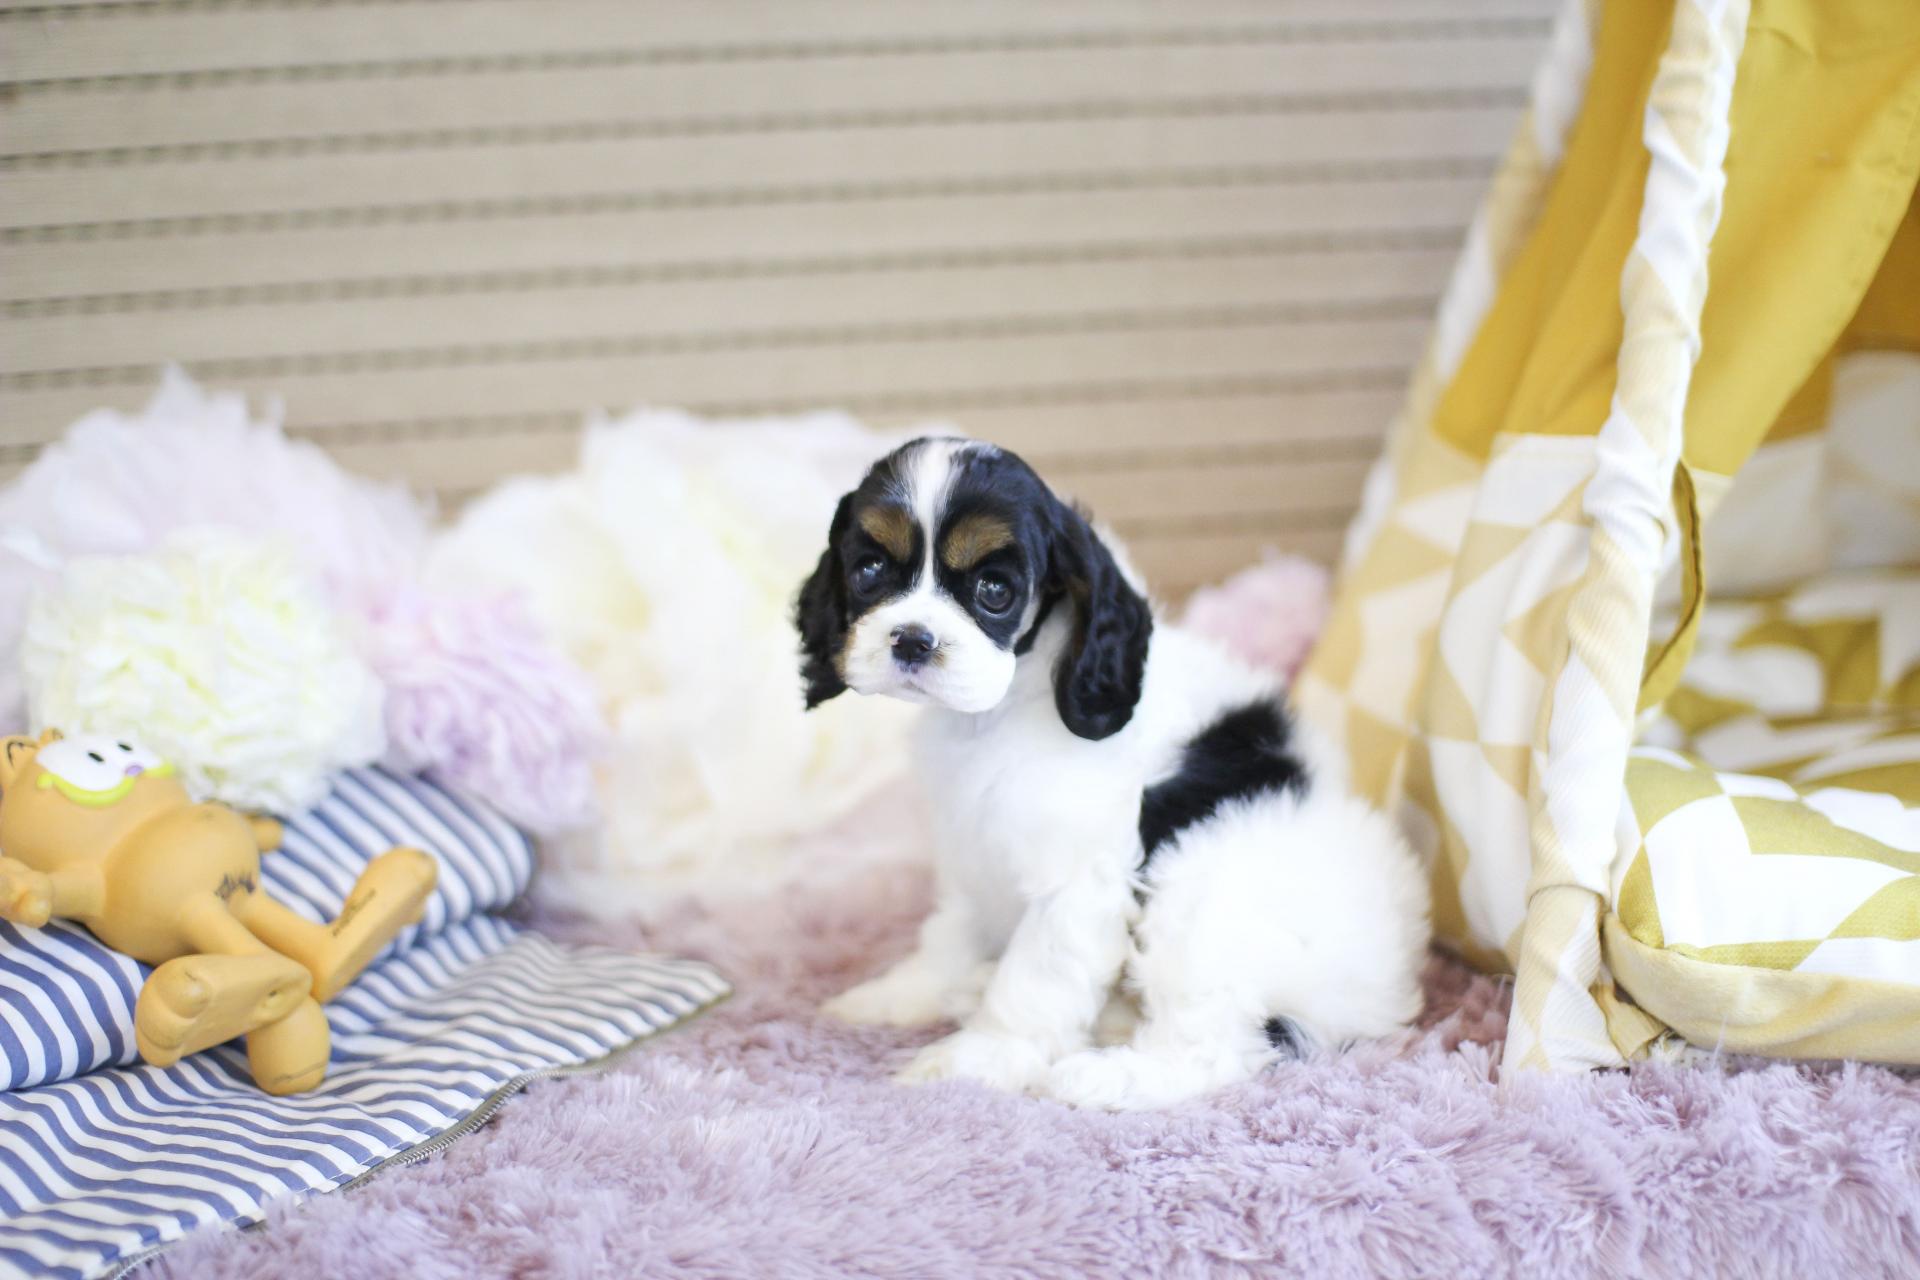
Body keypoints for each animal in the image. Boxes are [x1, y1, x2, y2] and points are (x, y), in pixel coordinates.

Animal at [796, 437, 1429, 1109]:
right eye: (868, 572)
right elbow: (949, 934)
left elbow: (1034, 981)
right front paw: (898, 995)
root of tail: (1379, 1003)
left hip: (1199, 896)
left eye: (995, 589)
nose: (913, 639)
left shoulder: (1078, 883)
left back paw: (1103, 1077)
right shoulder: (969, 853)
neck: (1002, 710)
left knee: (1215, 1050)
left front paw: (974, 1061)